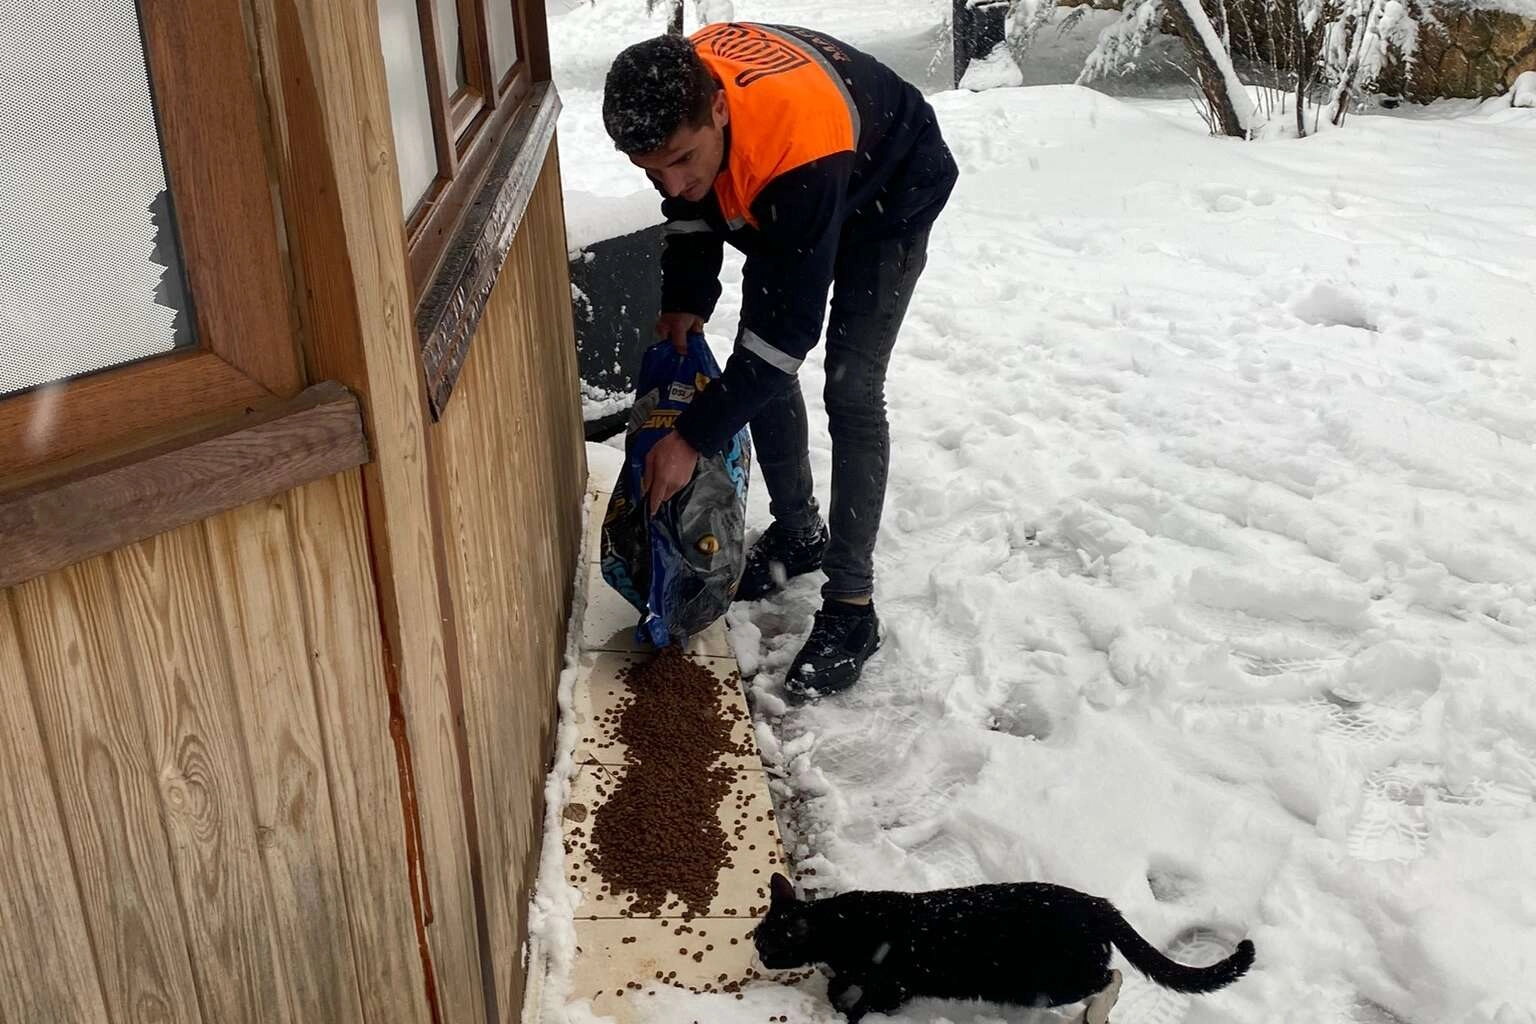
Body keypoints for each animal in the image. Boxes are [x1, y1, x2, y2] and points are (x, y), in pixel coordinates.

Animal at [753, 872, 1255, 1024]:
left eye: (766, 941)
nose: (757, 953)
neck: (843, 926)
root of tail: (1096, 903)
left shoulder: (892, 981)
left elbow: (863, 1001)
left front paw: (847, 1013)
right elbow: (840, 984)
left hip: (1043, 982)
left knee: (1109, 978)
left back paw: (1095, 1014)